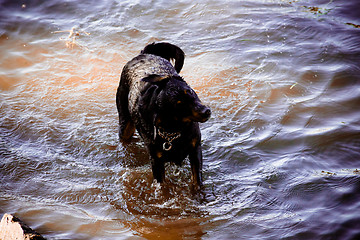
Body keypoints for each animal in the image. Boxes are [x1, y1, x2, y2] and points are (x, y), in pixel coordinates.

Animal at [115, 42, 211, 186]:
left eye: (189, 91)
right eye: (179, 105)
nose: (206, 111)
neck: (175, 128)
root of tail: (144, 54)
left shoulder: (195, 149)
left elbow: (196, 180)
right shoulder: (156, 161)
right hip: (124, 122)